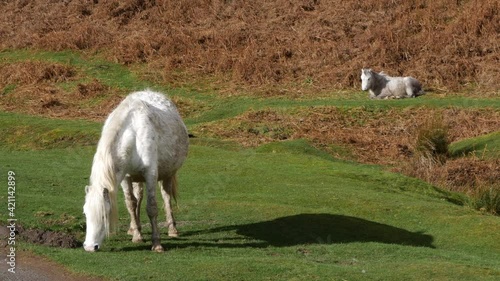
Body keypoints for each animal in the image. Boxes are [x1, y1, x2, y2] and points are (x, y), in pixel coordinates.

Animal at [83, 89, 188, 252]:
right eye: (86, 214)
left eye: (104, 216)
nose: (89, 247)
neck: (132, 133)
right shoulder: (125, 177)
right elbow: (131, 204)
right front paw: (137, 236)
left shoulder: (150, 174)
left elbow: (152, 207)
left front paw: (157, 244)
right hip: (136, 177)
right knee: (138, 197)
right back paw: (133, 228)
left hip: (168, 174)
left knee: (166, 197)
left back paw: (172, 230)